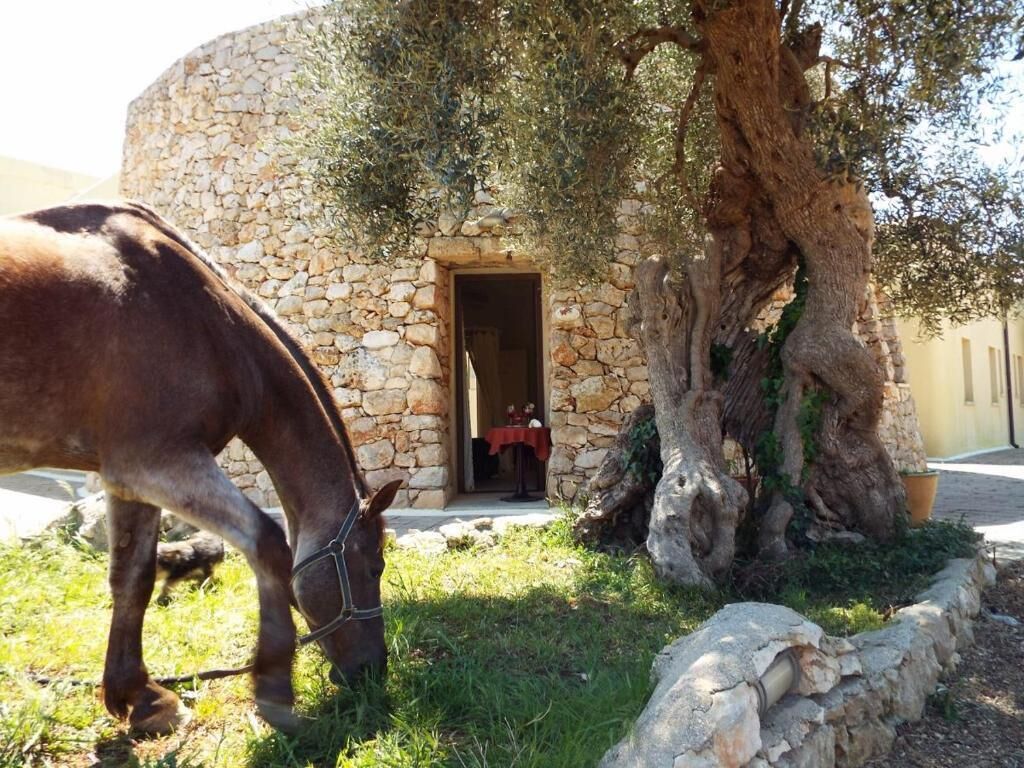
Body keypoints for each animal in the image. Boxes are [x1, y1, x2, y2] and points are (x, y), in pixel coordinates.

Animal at [0, 202, 403, 734]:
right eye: (374, 566)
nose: (373, 668)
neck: (203, 320)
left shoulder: (127, 480)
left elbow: (132, 578)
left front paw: (139, 696)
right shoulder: (157, 462)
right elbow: (267, 544)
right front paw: (275, 691)